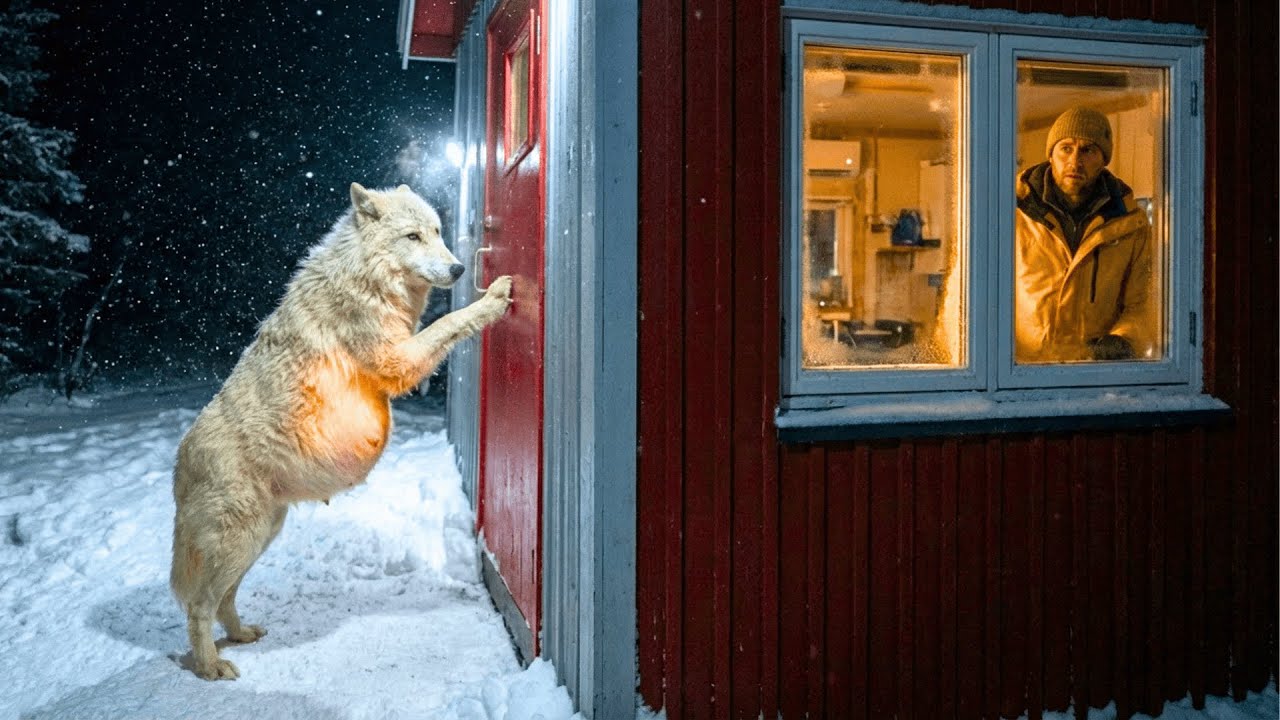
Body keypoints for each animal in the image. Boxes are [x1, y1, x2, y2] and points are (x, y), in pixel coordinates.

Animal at [170, 182, 512, 680]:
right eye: (412, 237)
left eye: (436, 232)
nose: (458, 268)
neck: (364, 281)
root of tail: (178, 465)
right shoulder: (398, 361)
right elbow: (451, 322)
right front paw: (493, 298)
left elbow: (445, 323)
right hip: (239, 541)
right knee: (199, 606)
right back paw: (211, 667)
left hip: (261, 536)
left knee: (224, 600)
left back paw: (240, 635)